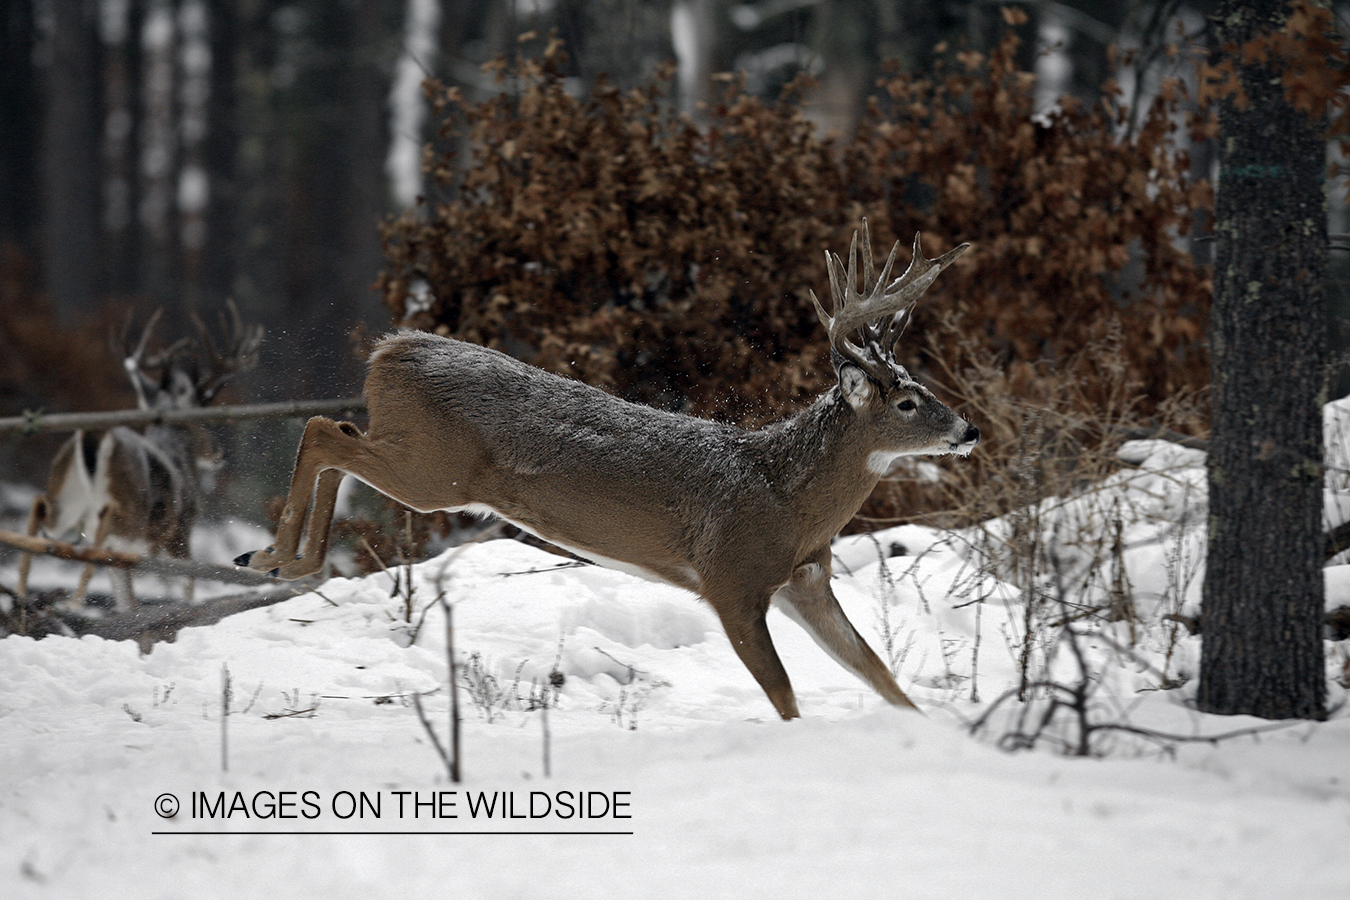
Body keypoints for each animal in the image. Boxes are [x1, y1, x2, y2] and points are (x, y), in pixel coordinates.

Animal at [240, 225, 982, 717]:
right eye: (908, 402)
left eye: (923, 388)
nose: (969, 430)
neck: (786, 497)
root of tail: (390, 349)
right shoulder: (730, 578)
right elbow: (783, 690)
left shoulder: (808, 578)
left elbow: (880, 675)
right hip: (435, 473)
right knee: (323, 432)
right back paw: (277, 558)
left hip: (423, 464)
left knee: (333, 433)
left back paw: (276, 558)